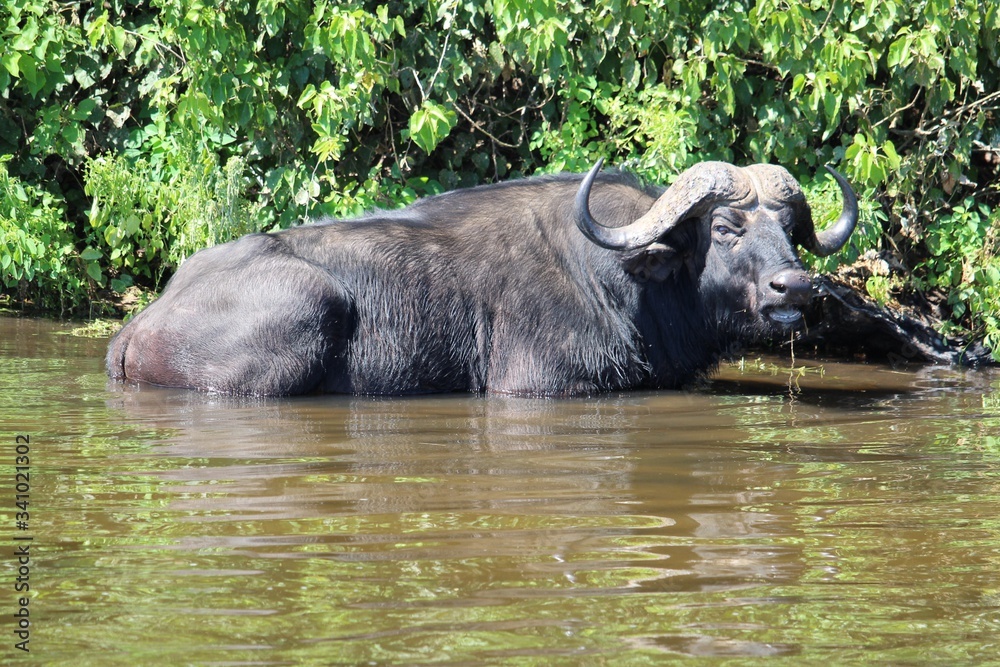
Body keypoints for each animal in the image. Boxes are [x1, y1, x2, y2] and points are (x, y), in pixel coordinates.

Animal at [106, 159, 857, 396]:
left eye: (788, 228)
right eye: (725, 228)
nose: (794, 288)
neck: (626, 282)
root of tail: (138, 326)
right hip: (305, 308)